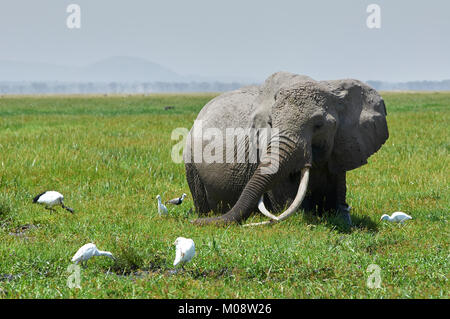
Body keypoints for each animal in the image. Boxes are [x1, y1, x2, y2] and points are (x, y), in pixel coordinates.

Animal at [182, 71, 386, 226]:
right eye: (271, 123)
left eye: (319, 125)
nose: (193, 224)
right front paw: (296, 216)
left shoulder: (342, 144)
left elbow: (337, 187)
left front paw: (342, 218)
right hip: (191, 162)